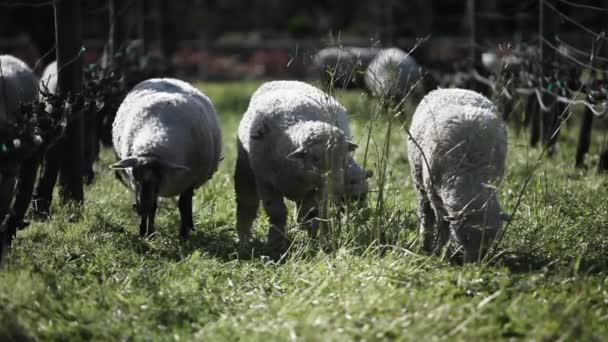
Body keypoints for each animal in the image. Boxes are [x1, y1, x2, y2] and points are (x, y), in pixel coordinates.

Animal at [110, 78, 222, 238]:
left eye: (158, 176)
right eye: (135, 177)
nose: (140, 207)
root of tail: (166, 78)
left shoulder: (188, 181)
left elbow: (183, 205)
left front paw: (183, 235)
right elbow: (152, 207)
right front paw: (146, 233)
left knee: (185, 206)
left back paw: (188, 226)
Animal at [234, 80, 368, 251]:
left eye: (343, 159)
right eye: (315, 158)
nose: (336, 186)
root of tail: (287, 80)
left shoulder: (316, 187)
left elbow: (312, 213)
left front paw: (313, 241)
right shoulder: (266, 182)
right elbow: (276, 213)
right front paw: (275, 242)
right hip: (246, 169)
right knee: (246, 202)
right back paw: (244, 239)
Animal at [408, 87, 508, 262]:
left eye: (491, 240)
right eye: (466, 237)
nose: (475, 264)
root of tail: (453, 88)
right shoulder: (434, 192)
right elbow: (443, 226)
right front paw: (440, 251)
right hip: (419, 179)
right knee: (426, 213)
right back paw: (425, 243)